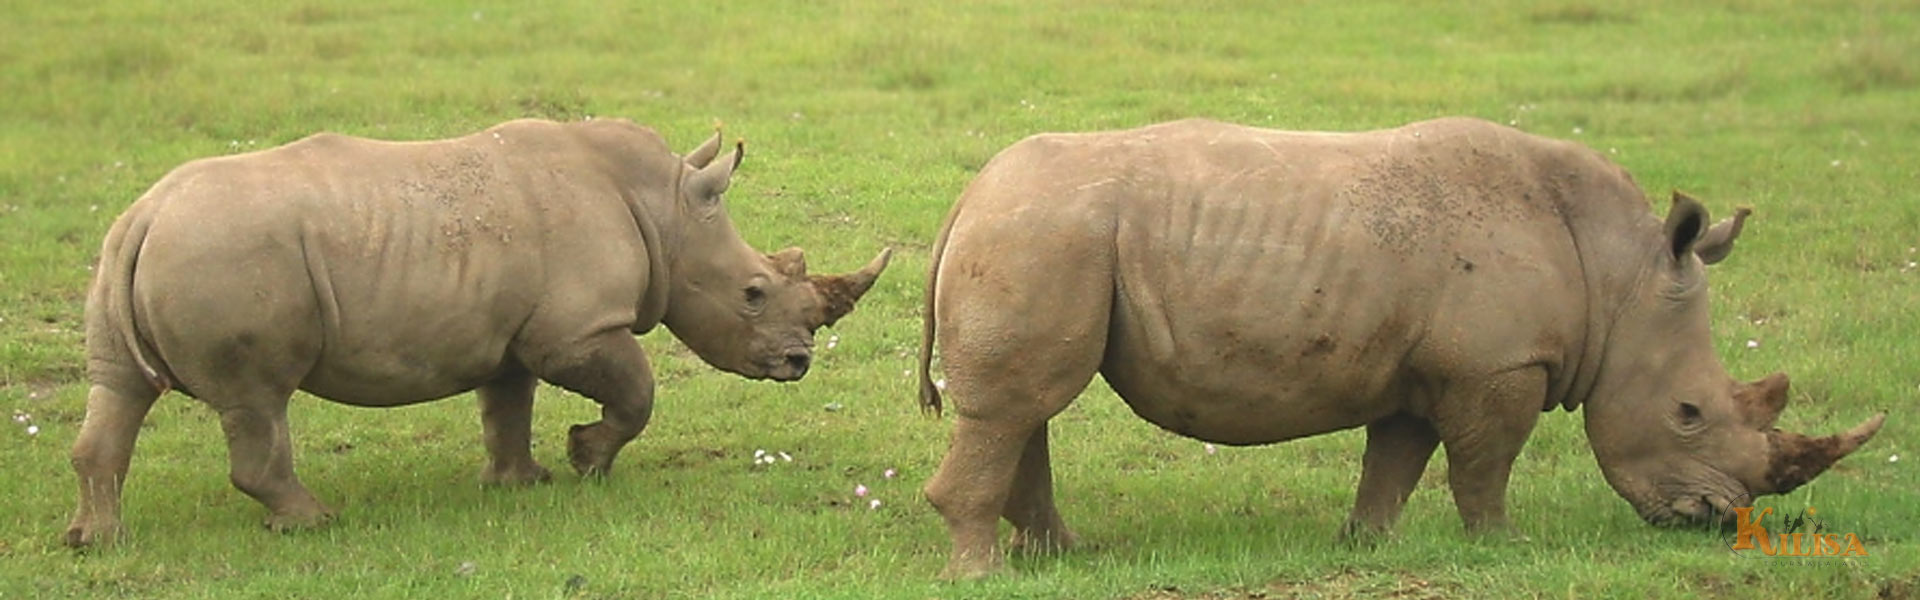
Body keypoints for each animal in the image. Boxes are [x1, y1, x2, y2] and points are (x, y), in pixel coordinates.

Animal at [66, 118, 892, 547]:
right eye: (753, 294)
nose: (798, 362)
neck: (667, 214)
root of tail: (146, 216)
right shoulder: (577, 330)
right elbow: (637, 392)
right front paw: (588, 459)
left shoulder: (512, 333)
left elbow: (507, 407)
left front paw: (522, 483)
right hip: (225, 254)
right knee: (258, 401)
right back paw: (314, 522)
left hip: (130, 256)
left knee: (120, 389)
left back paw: (95, 540)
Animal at [914, 117, 1885, 578]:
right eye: (1686, 414)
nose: (1715, 520)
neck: (1621, 276)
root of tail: (969, 195)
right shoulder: (1498, 365)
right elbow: (1483, 465)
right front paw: (1506, 546)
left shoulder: (1428, 367)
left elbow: (1398, 459)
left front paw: (1367, 546)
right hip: (1045, 233)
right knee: (1017, 407)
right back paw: (982, 572)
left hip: (1048, 235)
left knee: (1029, 407)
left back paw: (1064, 558)